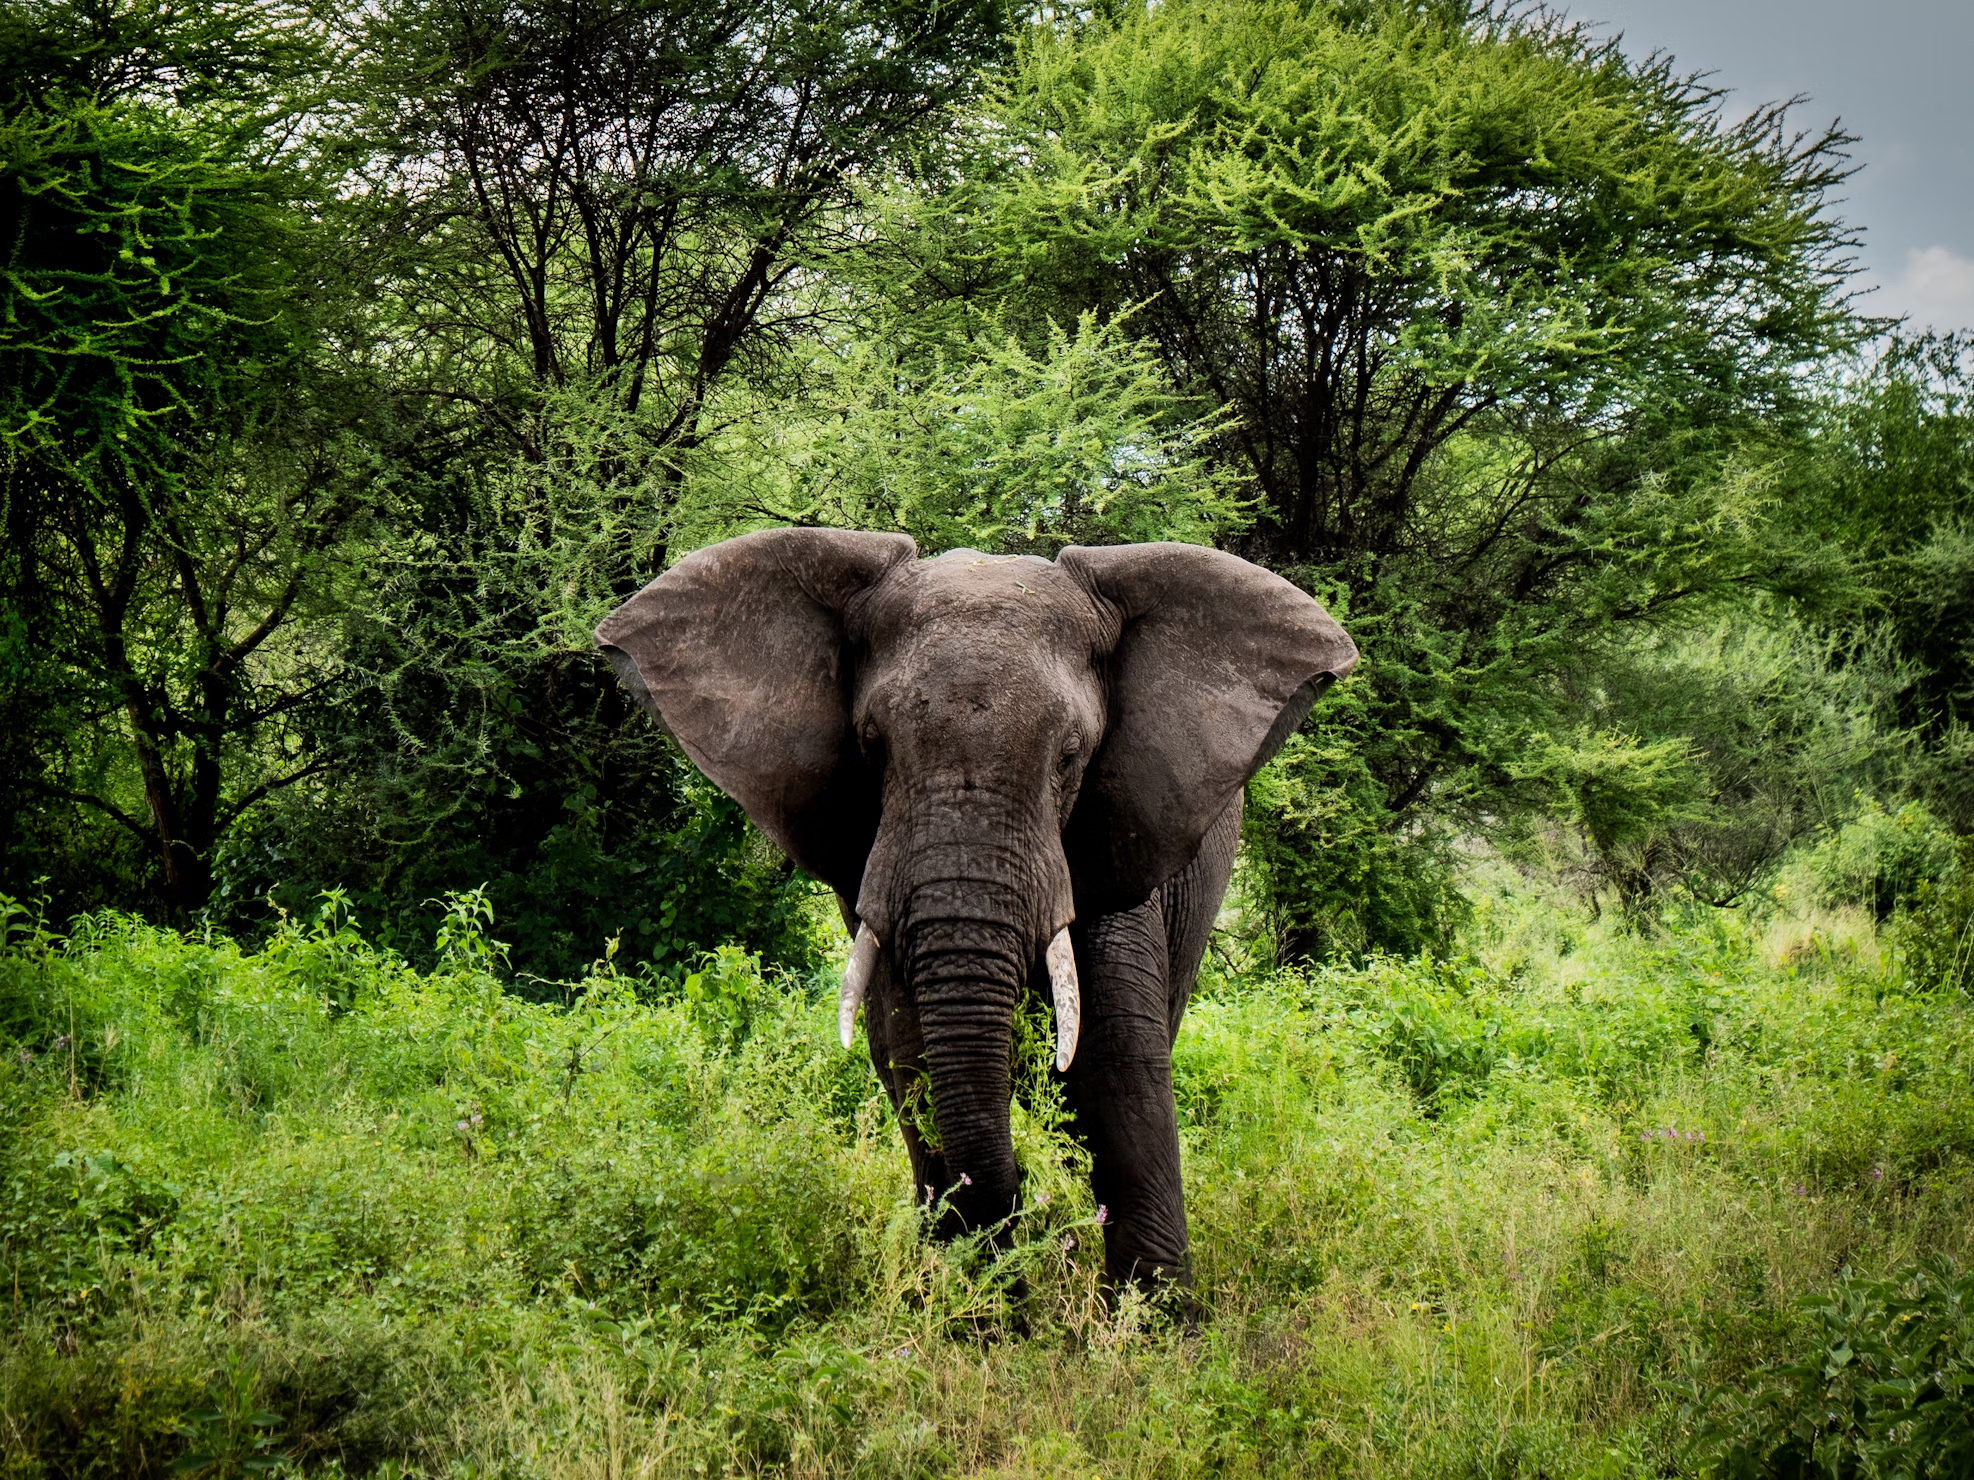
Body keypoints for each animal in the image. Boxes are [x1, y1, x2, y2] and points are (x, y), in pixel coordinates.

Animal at [596, 530, 1356, 1305]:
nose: (1020, 1203)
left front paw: (1159, 1322)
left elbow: (1116, 1063)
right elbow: (911, 1052)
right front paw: (977, 1303)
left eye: (1071, 755)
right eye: (871, 745)